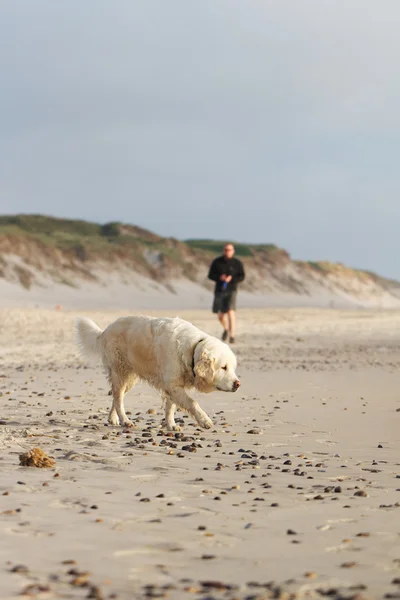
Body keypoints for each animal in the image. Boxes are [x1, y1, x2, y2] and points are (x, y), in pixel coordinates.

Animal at [76, 316, 241, 428]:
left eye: (232, 367)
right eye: (223, 367)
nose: (237, 384)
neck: (192, 349)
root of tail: (105, 331)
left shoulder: (174, 385)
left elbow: (171, 406)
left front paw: (171, 425)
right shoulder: (172, 384)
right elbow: (192, 402)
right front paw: (204, 420)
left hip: (130, 378)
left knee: (117, 397)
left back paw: (113, 419)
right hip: (120, 372)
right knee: (118, 398)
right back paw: (125, 420)